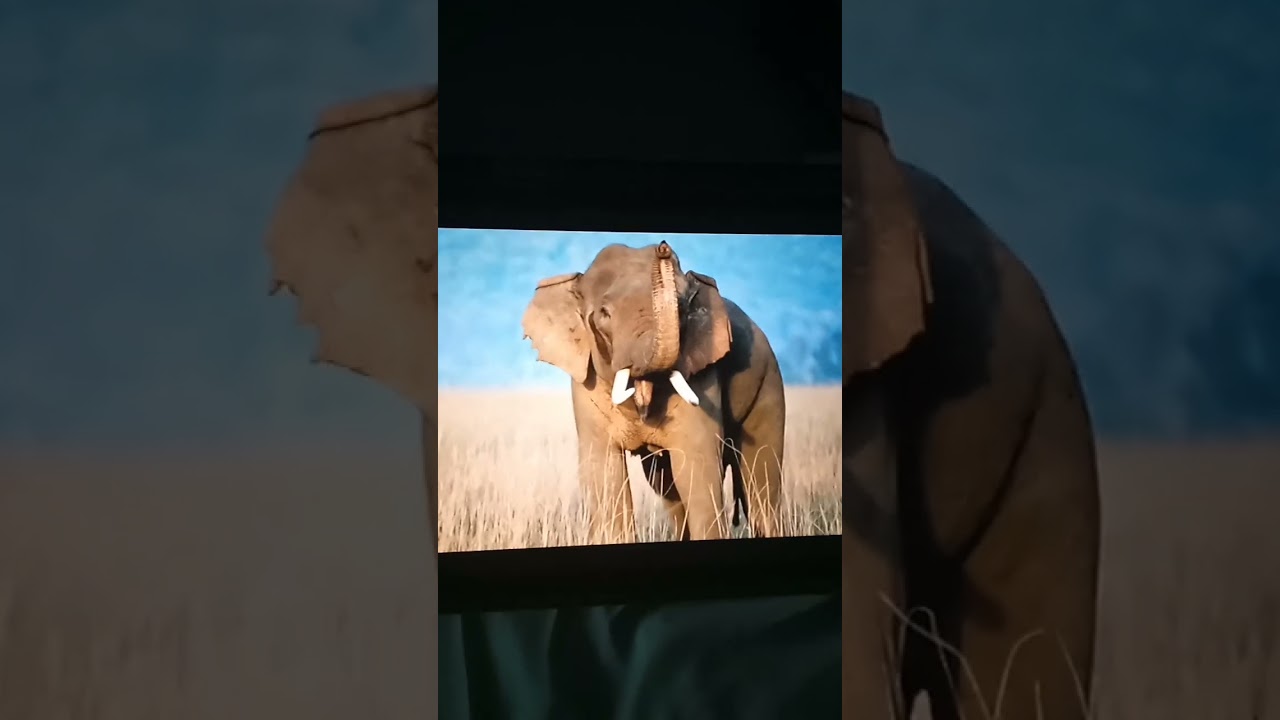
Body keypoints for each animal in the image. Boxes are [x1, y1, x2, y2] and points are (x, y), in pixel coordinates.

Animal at [521, 240, 786, 544]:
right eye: (604, 313)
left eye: (683, 308)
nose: (663, 248)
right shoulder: (586, 382)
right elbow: (605, 474)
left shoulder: (701, 373)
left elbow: (697, 468)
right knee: (668, 488)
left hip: (768, 384)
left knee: (762, 482)